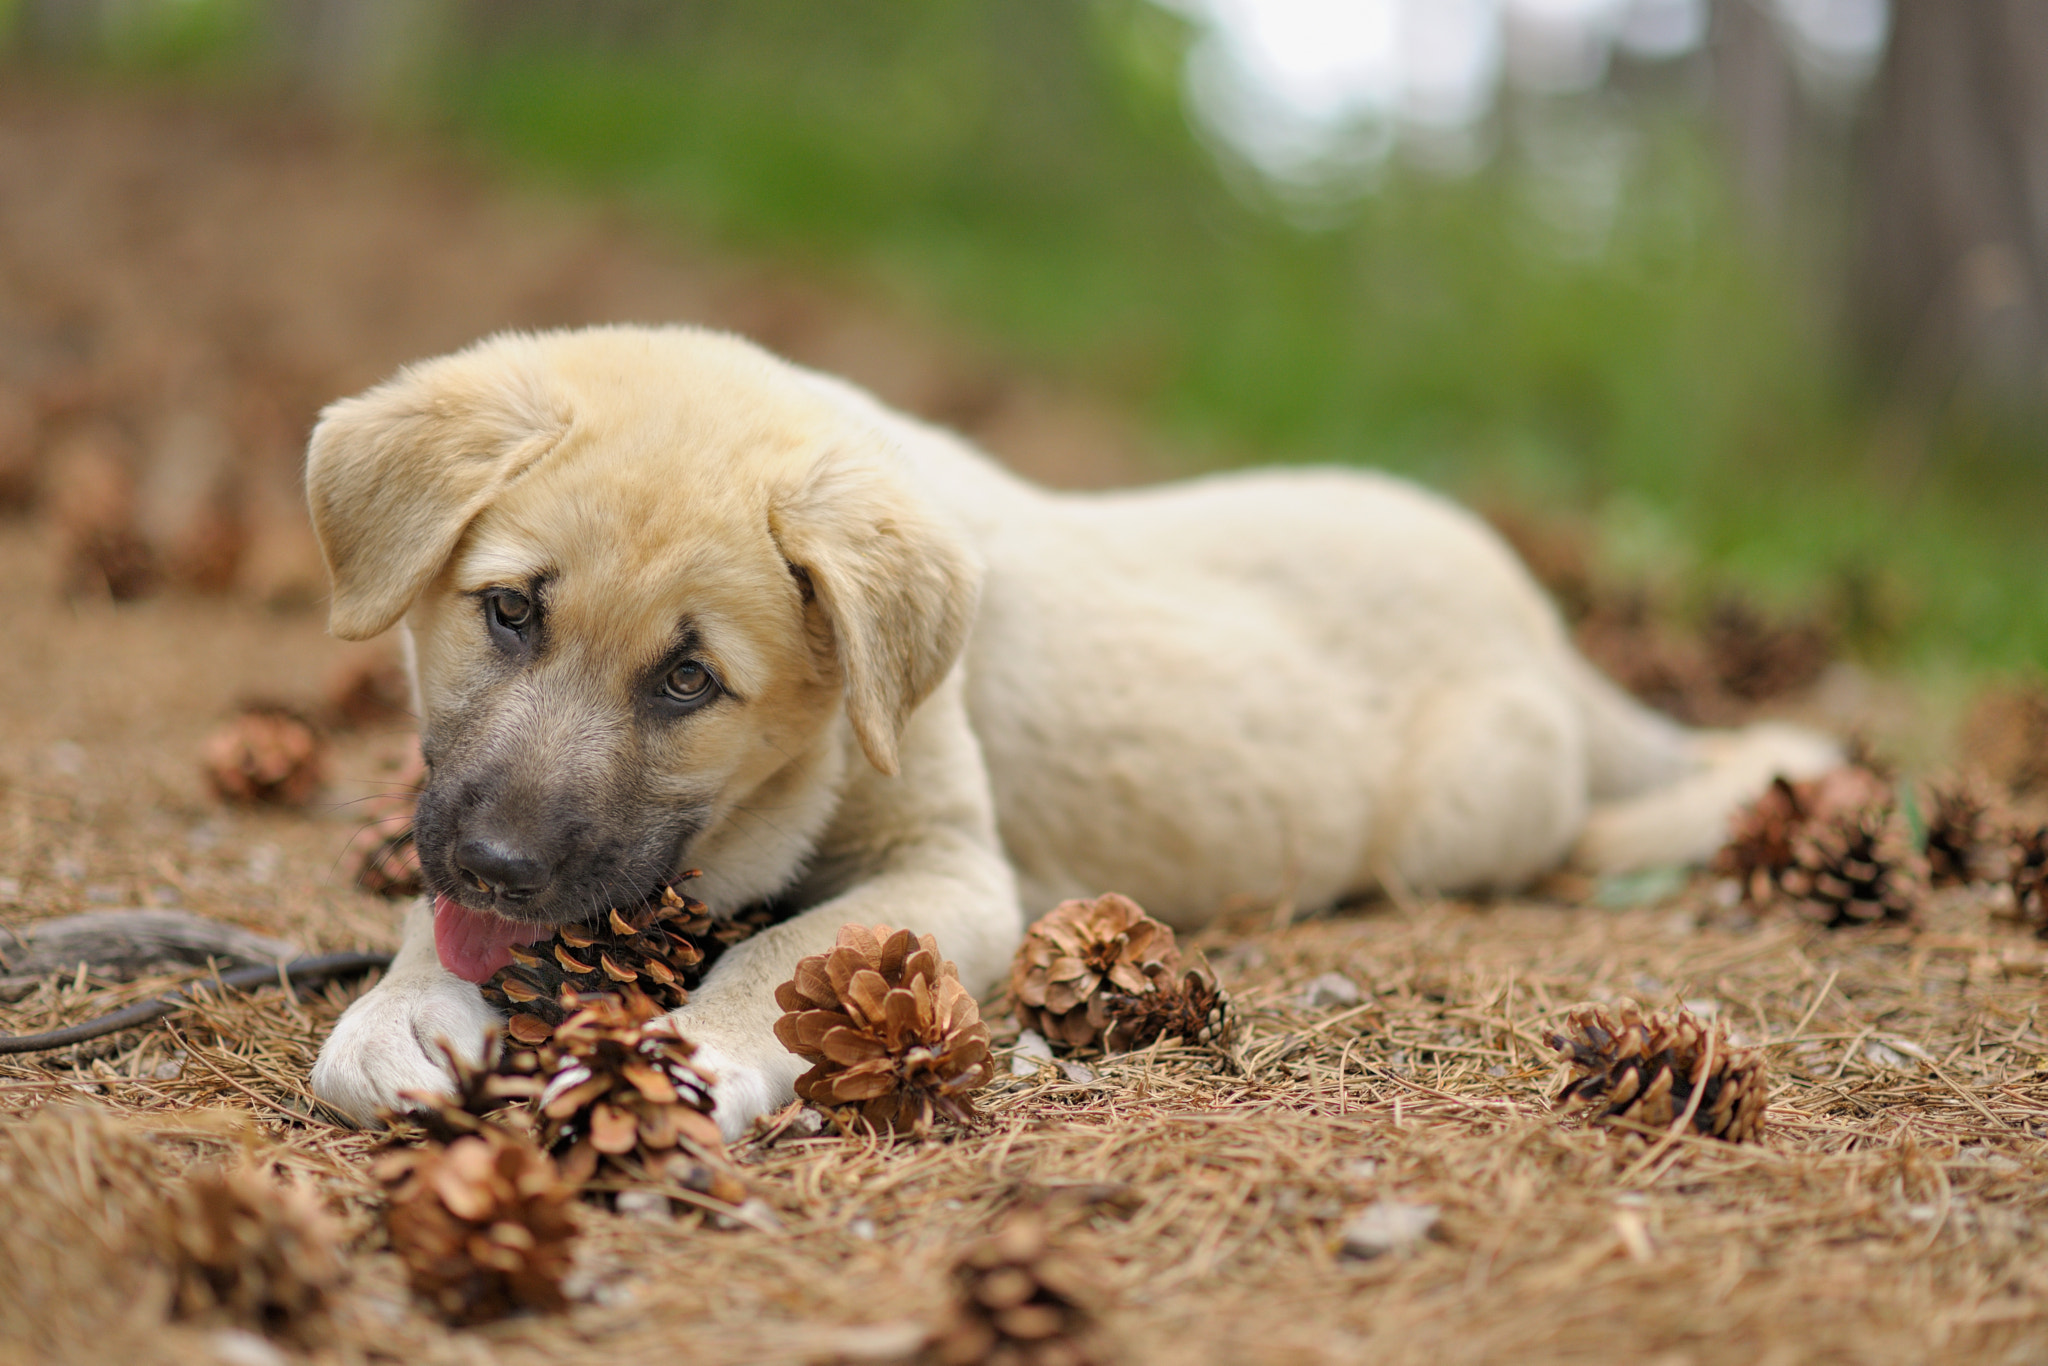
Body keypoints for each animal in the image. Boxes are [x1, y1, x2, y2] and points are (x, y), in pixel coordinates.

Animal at [307, 327, 1843, 1130]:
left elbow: (785, 950)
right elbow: (421, 916)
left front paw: (695, 1050)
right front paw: (401, 1009)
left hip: (1474, 810)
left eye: (689, 683)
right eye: (510, 611)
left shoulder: (954, 867)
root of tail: (1531, 605)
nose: (501, 867)